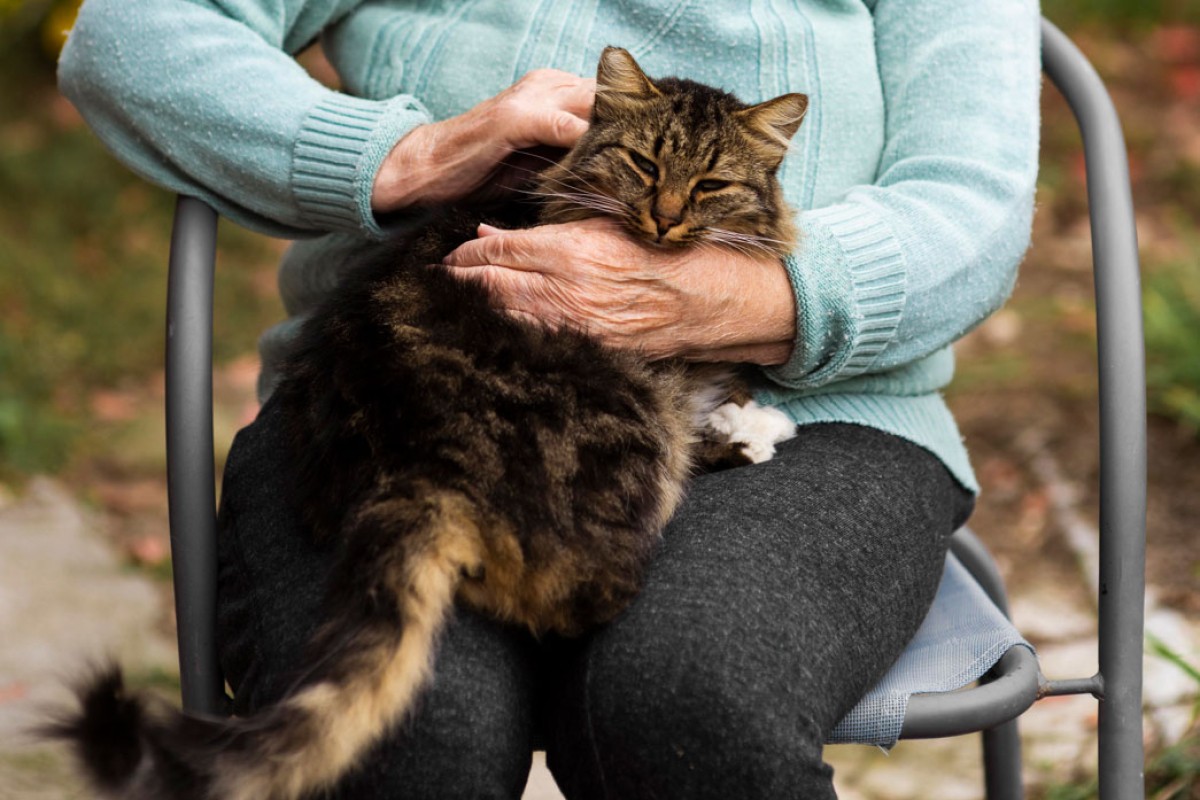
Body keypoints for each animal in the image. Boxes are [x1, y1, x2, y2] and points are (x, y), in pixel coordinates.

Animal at [44, 45, 806, 800]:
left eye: (709, 184)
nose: (667, 215)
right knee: (583, 585)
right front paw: (749, 419)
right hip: (628, 430)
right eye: (646, 164)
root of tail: (419, 454)